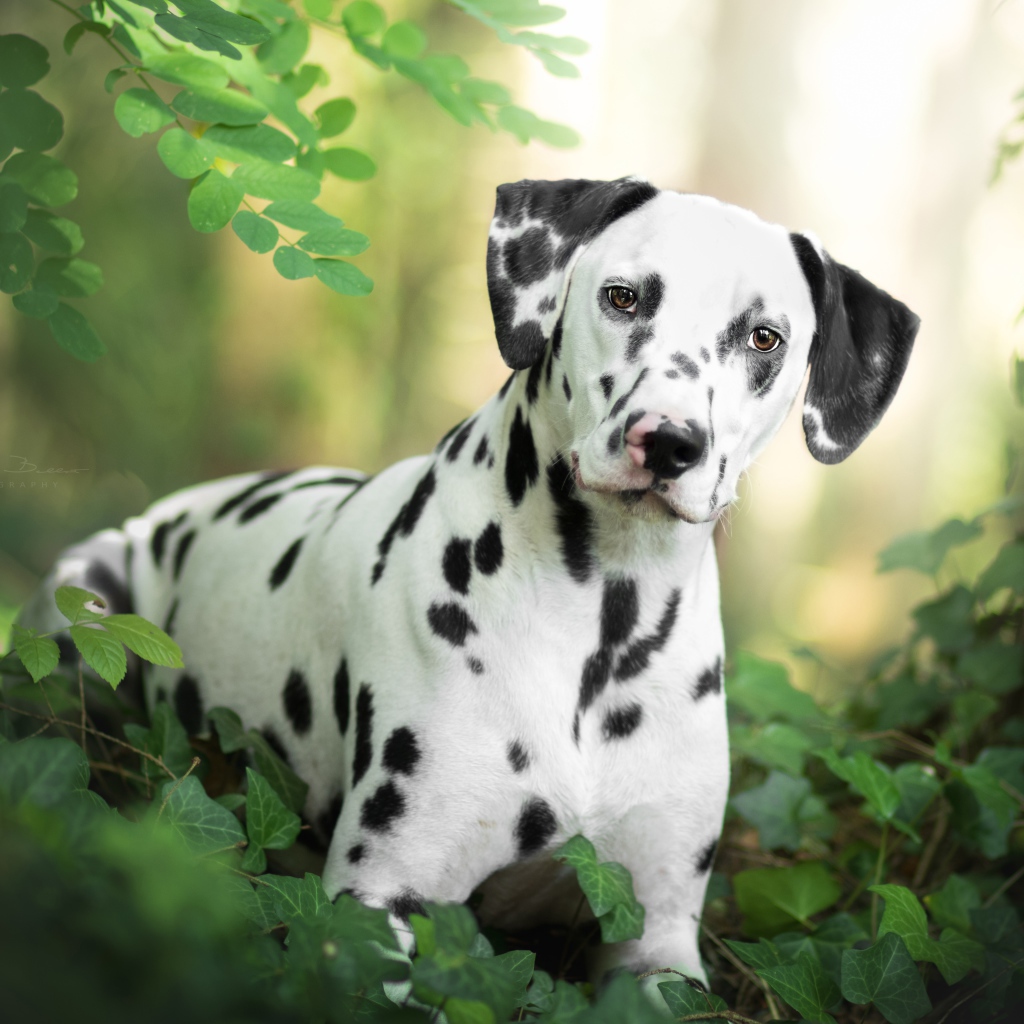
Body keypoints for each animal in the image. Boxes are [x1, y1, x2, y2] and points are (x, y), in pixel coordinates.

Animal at [18, 178, 921, 999]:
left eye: (765, 337)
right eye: (623, 296)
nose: (667, 442)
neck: (602, 621)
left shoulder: (660, 937)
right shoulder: (379, 903)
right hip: (83, 604)